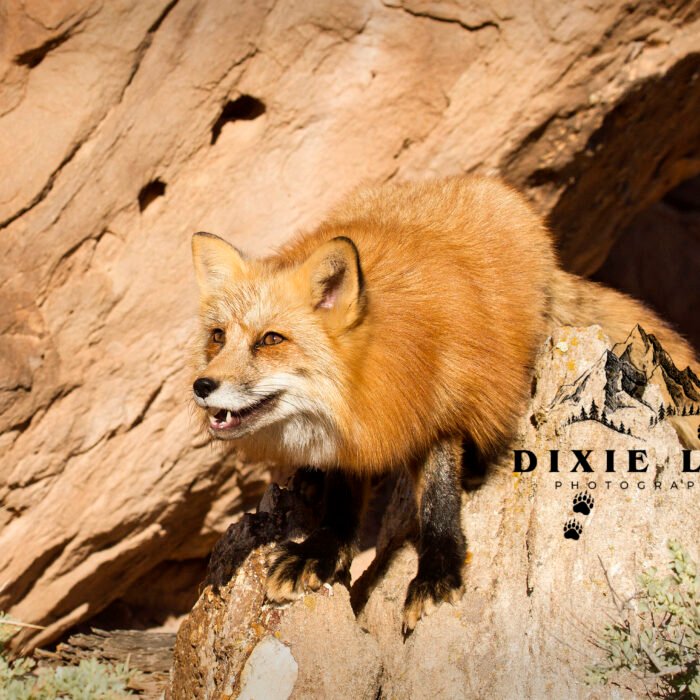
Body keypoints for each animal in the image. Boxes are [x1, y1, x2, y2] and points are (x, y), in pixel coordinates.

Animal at [190, 176, 698, 633]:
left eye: (271, 340)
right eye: (218, 337)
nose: (201, 385)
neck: (374, 373)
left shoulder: (442, 402)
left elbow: (438, 500)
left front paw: (437, 576)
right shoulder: (356, 430)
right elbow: (343, 500)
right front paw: (321, 551)